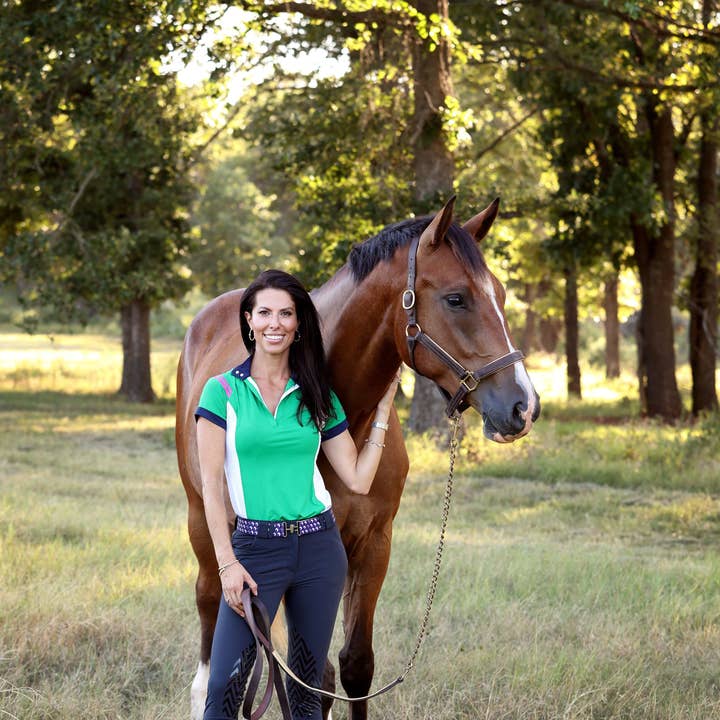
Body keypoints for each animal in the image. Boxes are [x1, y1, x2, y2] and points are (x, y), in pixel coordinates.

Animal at [175, 196, 540, 720]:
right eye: (456, 299)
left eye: (503, 295)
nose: (523, 407)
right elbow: (310, 674)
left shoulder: (373, 544)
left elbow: (353, 666)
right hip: (203, 525)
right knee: (212, 614)